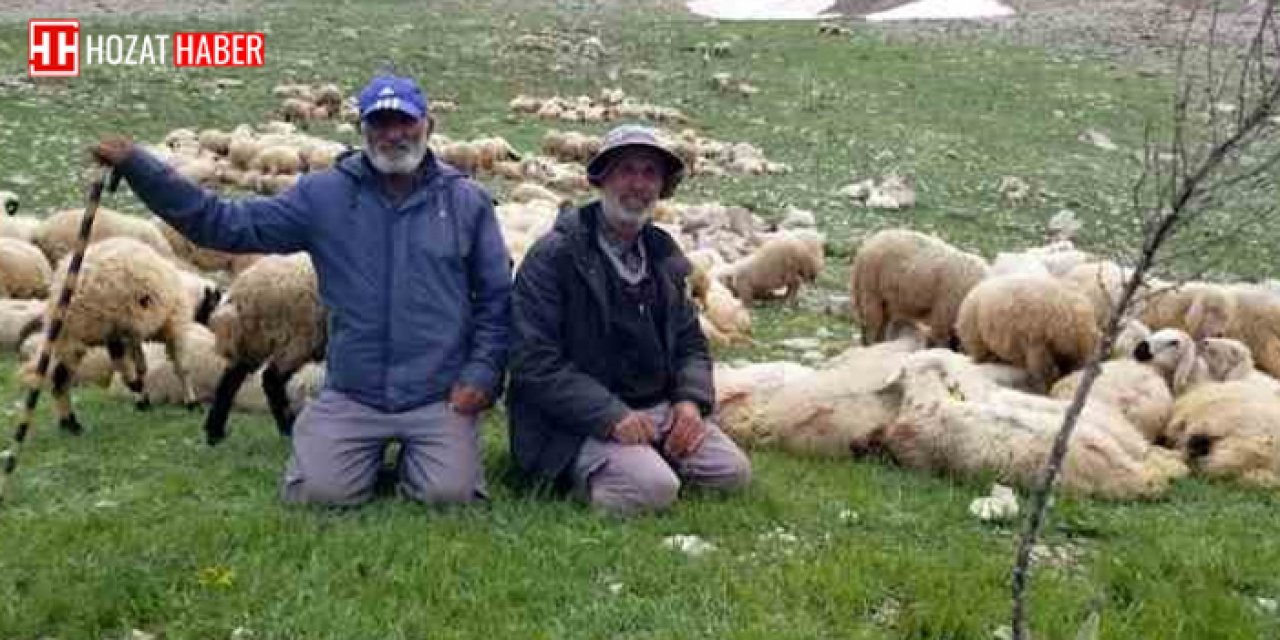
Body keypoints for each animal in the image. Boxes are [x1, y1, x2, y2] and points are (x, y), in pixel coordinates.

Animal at [20, 236, 197, 435]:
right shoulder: (168, 326)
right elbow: (181, 367)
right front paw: (191, 402)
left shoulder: (127, 333)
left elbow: (147, 366)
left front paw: (143, 398)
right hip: (89, 332)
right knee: (65, 379)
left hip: (73, 338)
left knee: (61, 379)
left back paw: (71, 422)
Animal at [203, 252, 325, 442]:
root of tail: (242, 291)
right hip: (296, 339)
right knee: (271, 379)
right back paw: (288, 429)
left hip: (254, 341)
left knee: (231, 379)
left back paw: (214, 433)